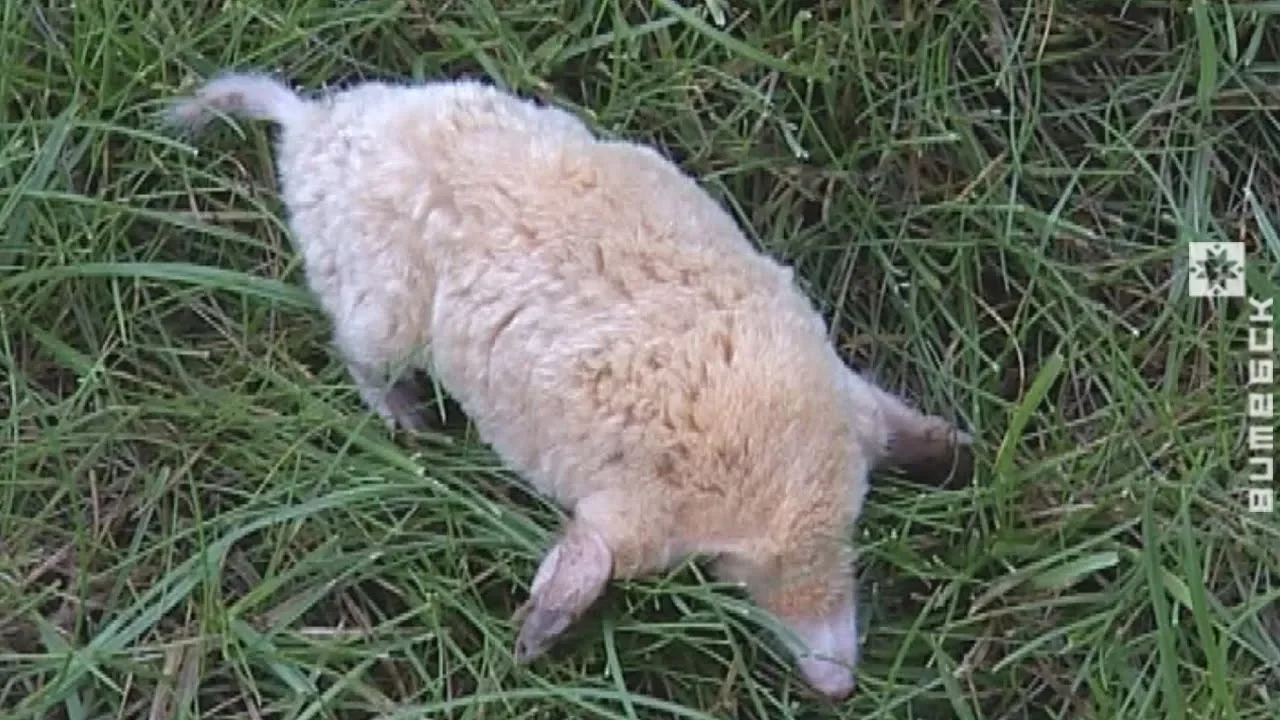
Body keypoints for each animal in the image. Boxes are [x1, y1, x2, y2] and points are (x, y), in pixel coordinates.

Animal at [163, 70, 973, 701]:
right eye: (735, 576)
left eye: (856, 526)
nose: (839, 688)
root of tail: (307, 124)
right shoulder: (633, 506)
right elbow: (595, 552)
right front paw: (531, 642)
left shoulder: (838, 390)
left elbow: (890, 415)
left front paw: (956, 449)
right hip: (374, 306)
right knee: (361, 354)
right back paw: (410, 421)